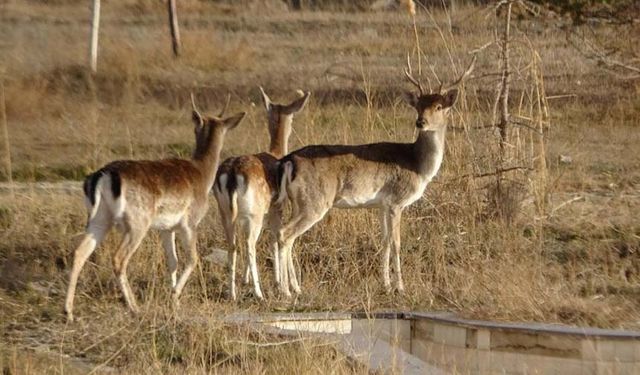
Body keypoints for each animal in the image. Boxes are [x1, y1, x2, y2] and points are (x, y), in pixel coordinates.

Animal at [64, 95, 245, 322]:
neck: (203, 174)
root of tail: (102, 176)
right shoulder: (189, 223)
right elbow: (193, 259)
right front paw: (174, 296)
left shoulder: (166, 228)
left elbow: (173, 261)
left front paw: (175, 301)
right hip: (137, 222)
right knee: (118, 258)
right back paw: (134, 307)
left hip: (99, 219)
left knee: (80, 252)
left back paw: (69, 312)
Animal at [214, 86, 312, 302]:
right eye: (293, 117)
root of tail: (231, 174)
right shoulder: (277, 208)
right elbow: (276, 239)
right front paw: (288, 285)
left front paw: (245, 280)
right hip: (255, 213)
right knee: (250, 244)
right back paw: (259, 293)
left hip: (225, 212)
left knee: (233, 244)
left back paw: (232, 293)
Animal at [276, 55, 476, 296]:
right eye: (418, 106)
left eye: (438, 106)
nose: (420, 122)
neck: (418, 166)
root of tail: (288, 161)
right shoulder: (397, 201)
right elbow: (397, 243)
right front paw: (401, 287)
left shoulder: (382, 204)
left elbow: (385, 241)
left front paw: (386, 284)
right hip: (315, 201)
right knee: (285, 234)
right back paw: (285, 291)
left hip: (299, 202)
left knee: (286, 235)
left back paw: (295, 287)